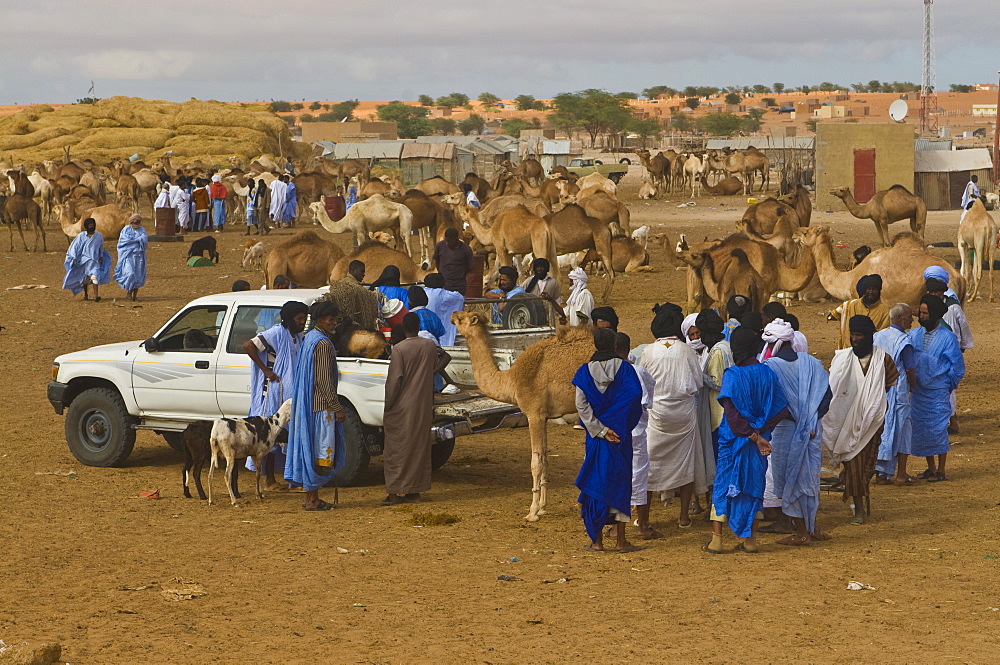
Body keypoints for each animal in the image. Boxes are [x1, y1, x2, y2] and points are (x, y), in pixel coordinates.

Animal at [452, 308, 592, 520]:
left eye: (461, 318)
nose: (452, 315)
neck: (512, 379)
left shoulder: (533, 413)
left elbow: (535, 463)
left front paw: (532, 512)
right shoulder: (544, 417)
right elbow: (545, 460)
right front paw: (542, 507)